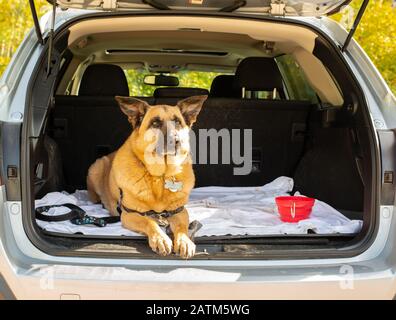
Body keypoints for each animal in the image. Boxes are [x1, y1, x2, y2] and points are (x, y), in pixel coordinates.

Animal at [85, 94, 206, 258]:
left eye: (177, 122)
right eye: (155, 123)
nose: (176, 141)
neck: (160, 177)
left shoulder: (180, 212)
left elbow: (182, 227)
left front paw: (184, 241)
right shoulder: (129, 215)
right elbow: (149, 222)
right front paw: (160, 239)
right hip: (96, 168)